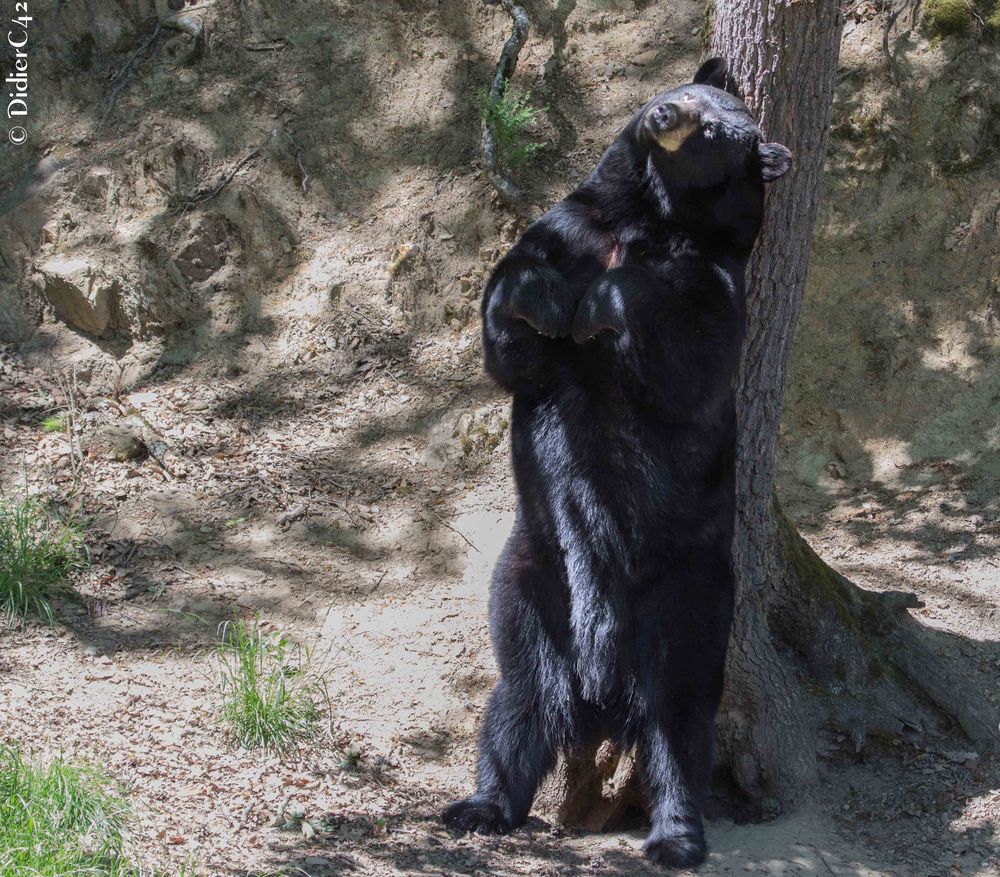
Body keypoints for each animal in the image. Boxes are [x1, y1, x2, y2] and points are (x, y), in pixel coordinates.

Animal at [444, 58, 788, 864]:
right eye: (686, 94)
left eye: (718, 129)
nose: (664, 114)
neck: (647, 223)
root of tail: (599, 694)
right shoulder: (567, 227)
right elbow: (510, 333)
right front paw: (545, 300)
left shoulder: (714, 281)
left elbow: (691, 359)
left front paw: (602, 303)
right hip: (530, 583)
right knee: (517, 704)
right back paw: (480, 804)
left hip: (690, 594)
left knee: (677, 723)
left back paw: (675, 836)